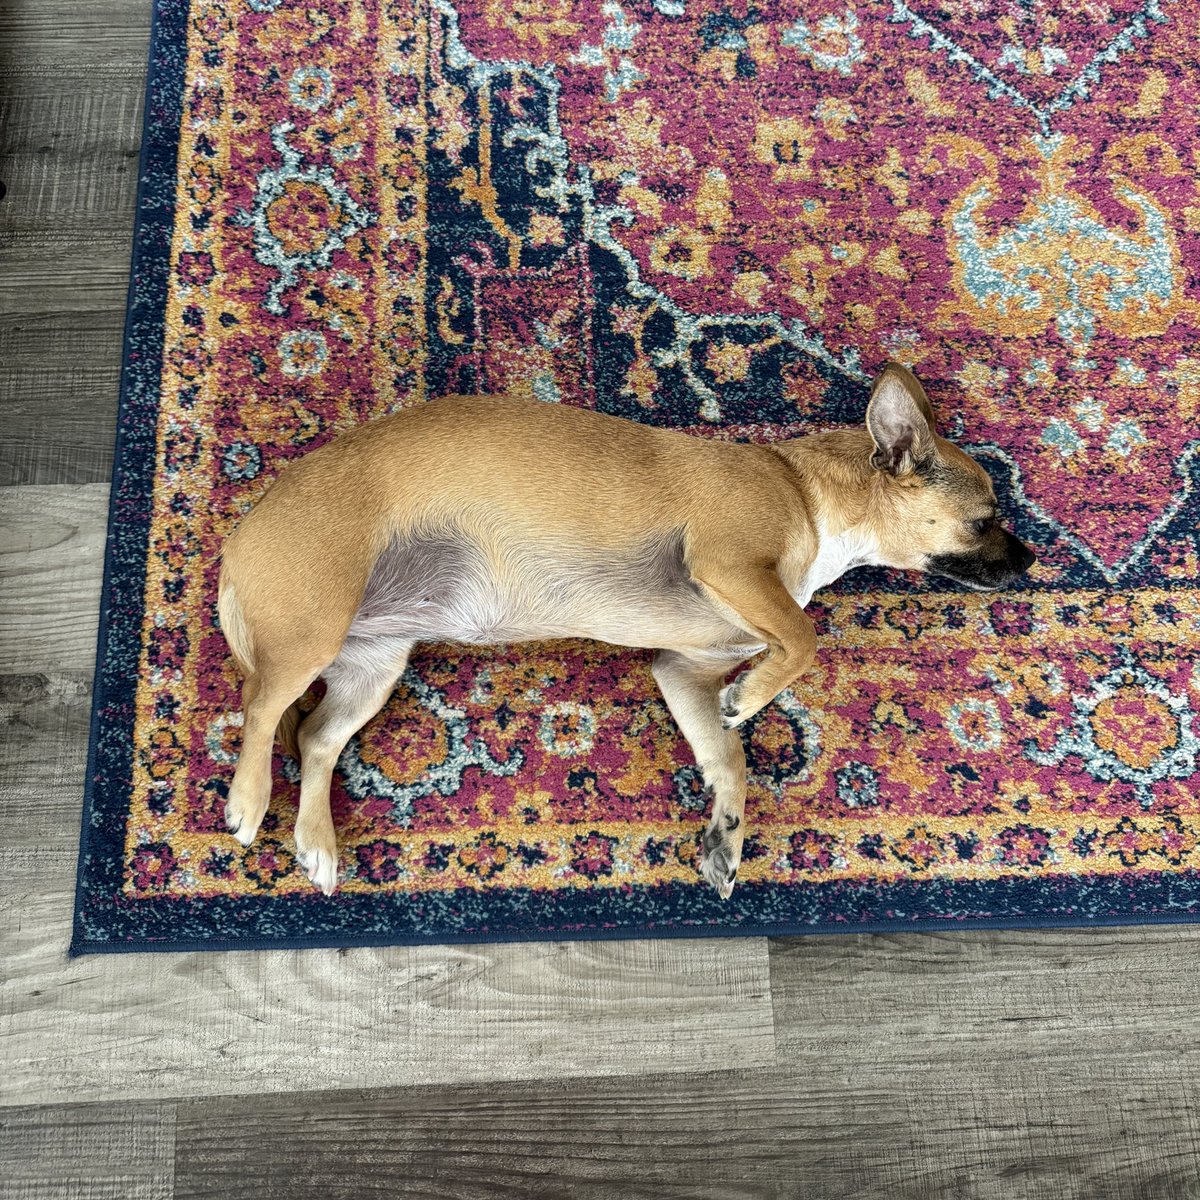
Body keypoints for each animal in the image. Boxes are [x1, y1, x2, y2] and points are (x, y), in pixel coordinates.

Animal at [216, 364, 1032, 902]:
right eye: (986, 519)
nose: (1031, 560)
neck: (805, 495)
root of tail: (240, 536)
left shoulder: (684, 671)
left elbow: (729, 760)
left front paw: (726, 831)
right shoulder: (730, 566)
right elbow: (802, 638)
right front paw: (753, 697)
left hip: (373, 667)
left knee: (315, 738)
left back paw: (317, 845)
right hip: (312, 633)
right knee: (260, 709)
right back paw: (249, 801)